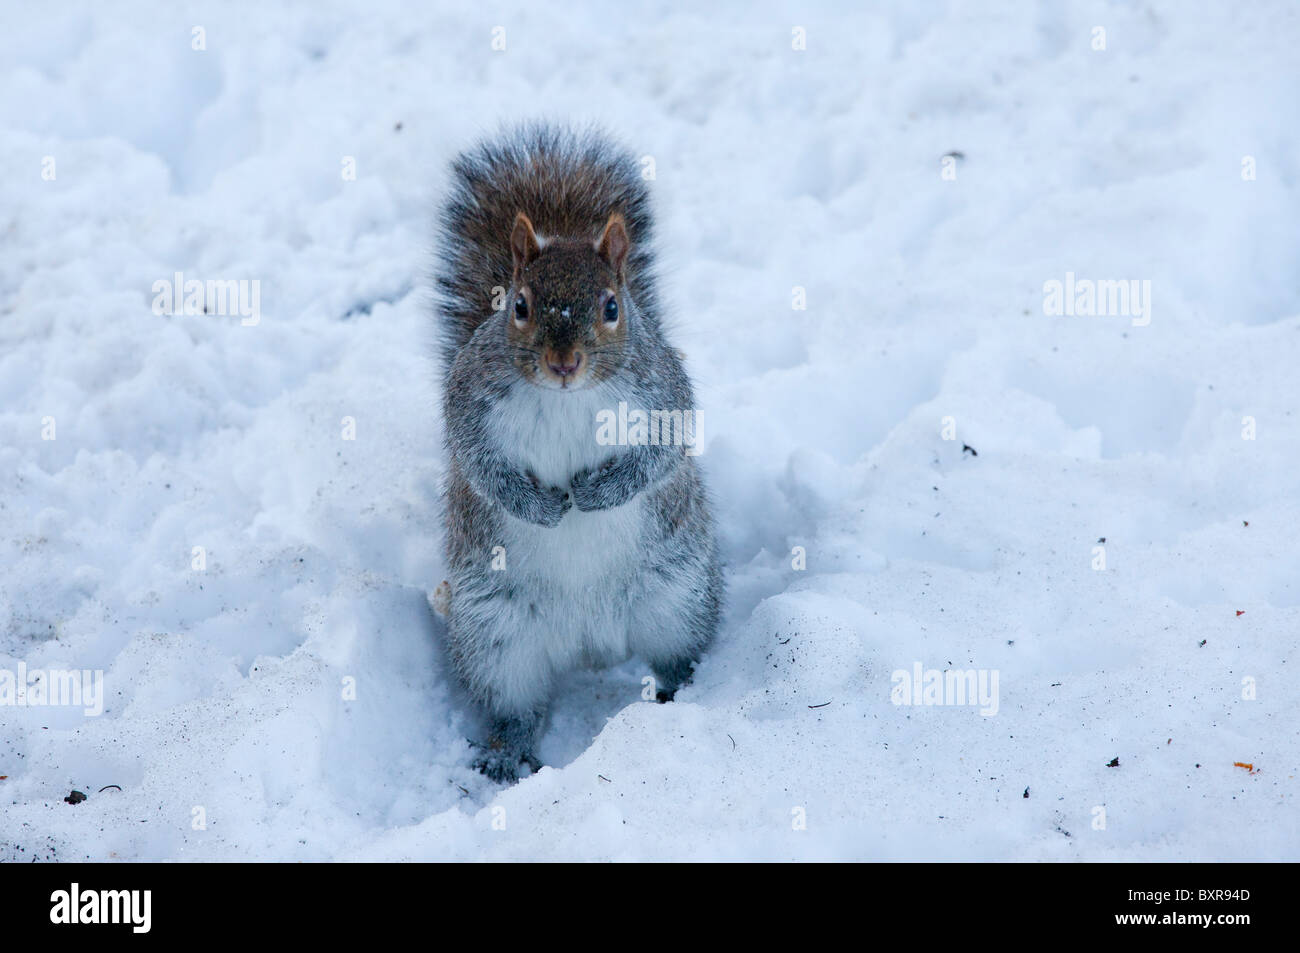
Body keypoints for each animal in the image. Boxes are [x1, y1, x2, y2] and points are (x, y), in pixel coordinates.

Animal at [434, 123, 722, 782]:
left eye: (612, 307)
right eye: (517, 305)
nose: (564, 363)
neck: (567, 397)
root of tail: (586, 640)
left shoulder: (663, 393)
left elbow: (660, 454)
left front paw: (597, 493)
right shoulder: (469, 404)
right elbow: (479, 465)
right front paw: (539, 507)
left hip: (677, 596)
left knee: (677, 654)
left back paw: (681, 699)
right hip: (495, 634)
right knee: (512, 701)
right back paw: (508, 754)